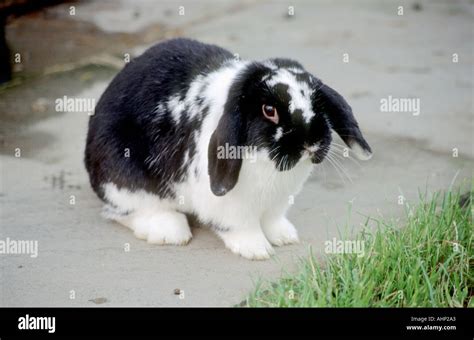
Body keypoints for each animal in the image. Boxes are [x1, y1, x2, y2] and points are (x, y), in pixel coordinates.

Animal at [86, 37, 374, 260]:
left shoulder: (277, 204)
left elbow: (273, 220)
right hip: (126, 182)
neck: (265, 161)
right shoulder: (232, 207)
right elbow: (241, 227)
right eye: (269, 110)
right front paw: (258, 250)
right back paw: (171, 232)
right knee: (125, 210)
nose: (310, 142)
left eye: (318, 103)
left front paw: (284, 237)